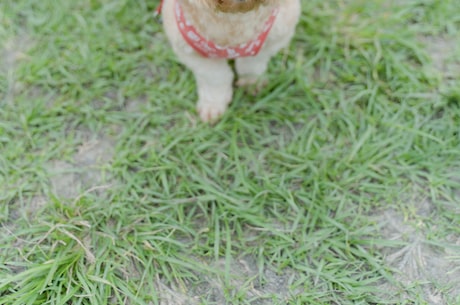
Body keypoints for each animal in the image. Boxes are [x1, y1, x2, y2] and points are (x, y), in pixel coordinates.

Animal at [162, 0, 302, 121]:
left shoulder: (278, 33)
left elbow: (252, 64)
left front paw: (251, 83)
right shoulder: (188, 48)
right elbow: (215, 78)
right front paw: (213, 106)